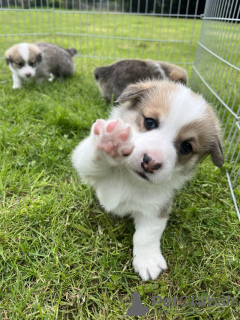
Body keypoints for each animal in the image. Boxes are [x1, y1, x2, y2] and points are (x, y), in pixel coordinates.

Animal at [71, 79, 223, 280]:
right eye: (150, 122)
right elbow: (91, 158)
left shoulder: (156, 208)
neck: (131, 179)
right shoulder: (85, 164)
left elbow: (146, 235)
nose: (151, 163)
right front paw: (110, 141)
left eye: (186, 147)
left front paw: (147, 261)